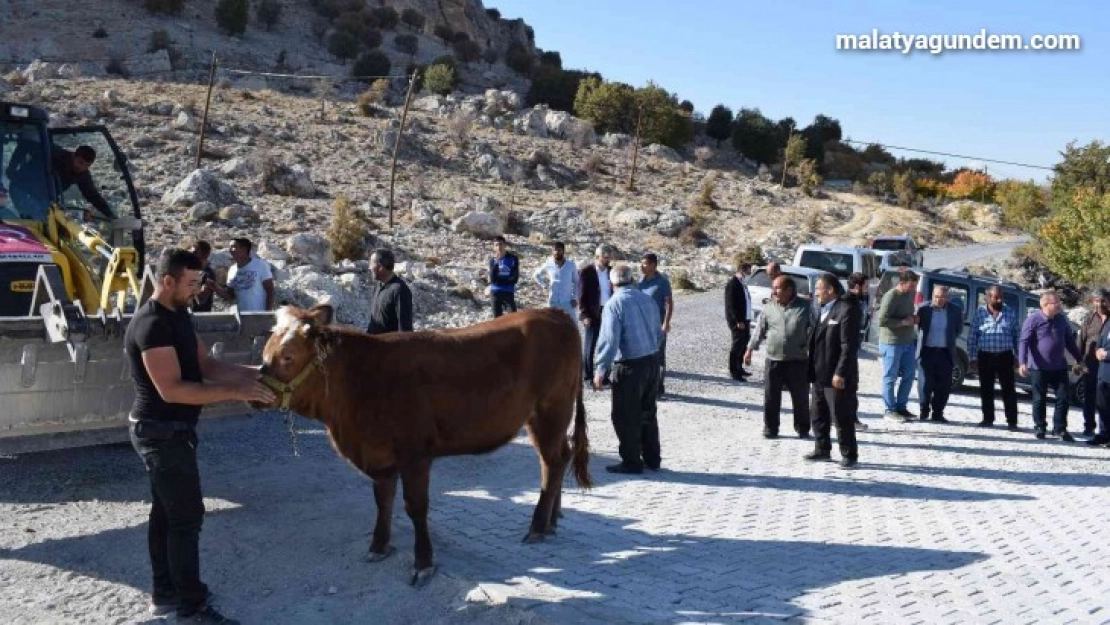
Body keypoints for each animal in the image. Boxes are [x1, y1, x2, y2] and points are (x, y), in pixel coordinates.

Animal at [256, 304, 594, 586]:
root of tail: (555, 313)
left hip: (550, 410)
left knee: (552, 462)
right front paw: (379, 546)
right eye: (264, 353)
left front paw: (423, 563)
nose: (256, 392)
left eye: (287, 356)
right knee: (559, 458)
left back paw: (537, 526)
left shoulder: (415, 455)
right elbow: (383, 501)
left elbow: (415, 507)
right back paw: (551, 521)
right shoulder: (380, 456)